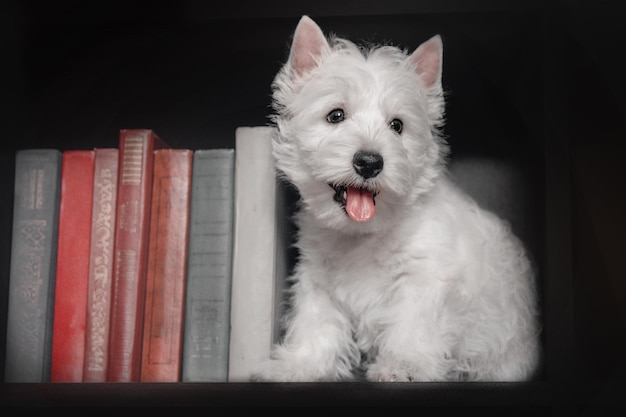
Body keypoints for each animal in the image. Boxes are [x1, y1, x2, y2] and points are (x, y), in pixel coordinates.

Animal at [251, 16, 540, 380]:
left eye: (397, 125)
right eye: (335, 115)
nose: (369, 162)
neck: (361, 236)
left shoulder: (424, 277)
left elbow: (413, 323)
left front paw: (404, 366)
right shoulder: (317, 278)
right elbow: (315, 322)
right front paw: (300, 365)